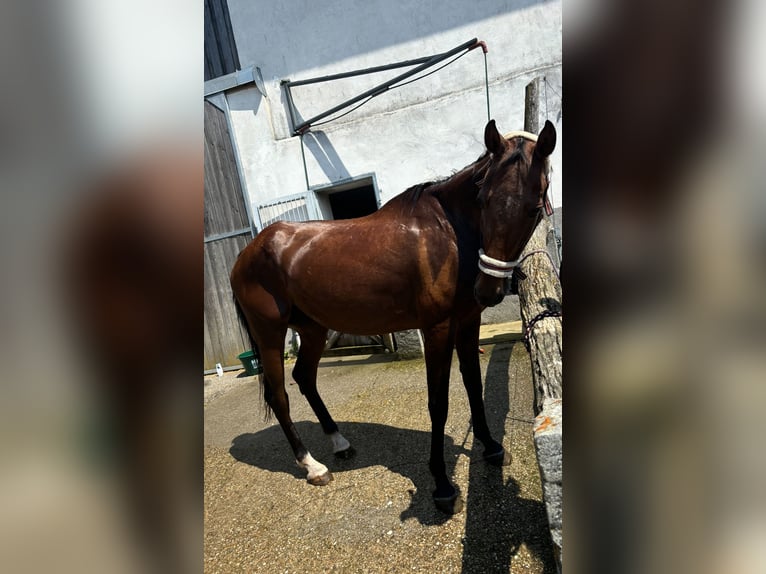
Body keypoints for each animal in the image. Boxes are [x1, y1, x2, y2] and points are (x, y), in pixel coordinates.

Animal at [230, 119, 560, 516]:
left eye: (533, 208)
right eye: (483, 199)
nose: (488, 290)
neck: (448, 234)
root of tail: (247, 252)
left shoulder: (468, 322)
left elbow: (473, 386)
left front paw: (491, 446)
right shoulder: (436, 329)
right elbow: (439, 403)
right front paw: (442, 484)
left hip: (313, 328)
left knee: (304, 377)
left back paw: (339, 442)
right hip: (270, 332)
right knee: (280, 394)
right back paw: (312, 466)